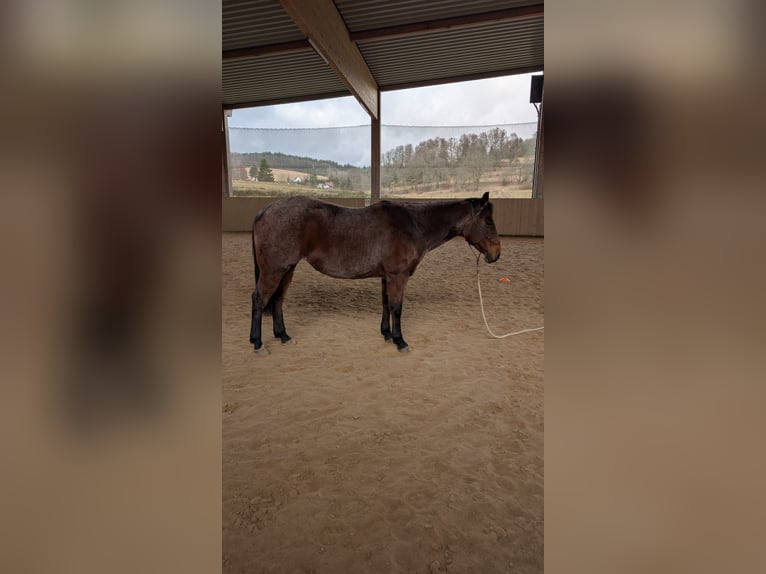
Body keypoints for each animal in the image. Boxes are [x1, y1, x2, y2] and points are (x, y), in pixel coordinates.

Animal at [249, 192, 501, 353]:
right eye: (488, 221)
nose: (496, 254)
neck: (413, 225)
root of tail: (265, 210)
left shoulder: (386, 276)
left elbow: (386, 304)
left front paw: (387, 334)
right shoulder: (398, 276)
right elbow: (397, 308)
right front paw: (400, 341)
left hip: (287, 269)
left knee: (278, 300)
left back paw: (283, 336)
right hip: (274, 270)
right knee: (259, 299)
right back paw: (258, 343)